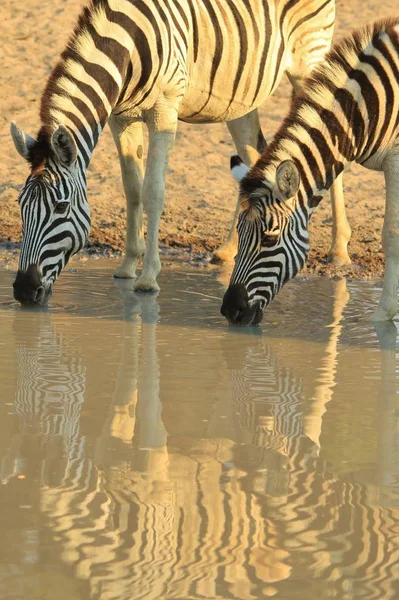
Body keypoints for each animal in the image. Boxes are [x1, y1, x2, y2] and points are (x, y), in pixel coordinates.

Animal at [8, 0, 346, 304]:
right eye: (20, 204)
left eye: (61, 207)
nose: (23, 291)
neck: (128, 48)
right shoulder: (122, 117)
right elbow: (132, 189)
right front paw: (128, 266)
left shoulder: (164, 112)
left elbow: (153, 191)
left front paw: (148, 278)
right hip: (241, 98)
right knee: (254, 161)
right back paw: (229, 250)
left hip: (309, 63)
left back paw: (339, 250)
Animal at [222, 18, 399, 326]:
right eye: (240, 234)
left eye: (269, 238)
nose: (231, 311)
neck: (365, 108)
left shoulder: (396, 158)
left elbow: (391, 235)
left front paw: (382, 317)